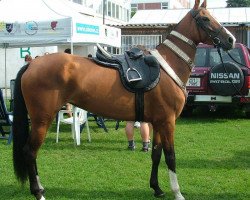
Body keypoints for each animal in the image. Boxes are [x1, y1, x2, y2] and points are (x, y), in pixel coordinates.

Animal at [12, 0, 234, 199]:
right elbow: (170, 157)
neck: (167, 66)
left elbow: (156, 154)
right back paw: (38, 193)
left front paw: (157, 188)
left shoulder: (158, 122)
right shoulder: (168, 122)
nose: (230, 40)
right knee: (30, 152)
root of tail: (32, 64)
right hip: (42, 120)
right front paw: (177, 193)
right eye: (205, 18)